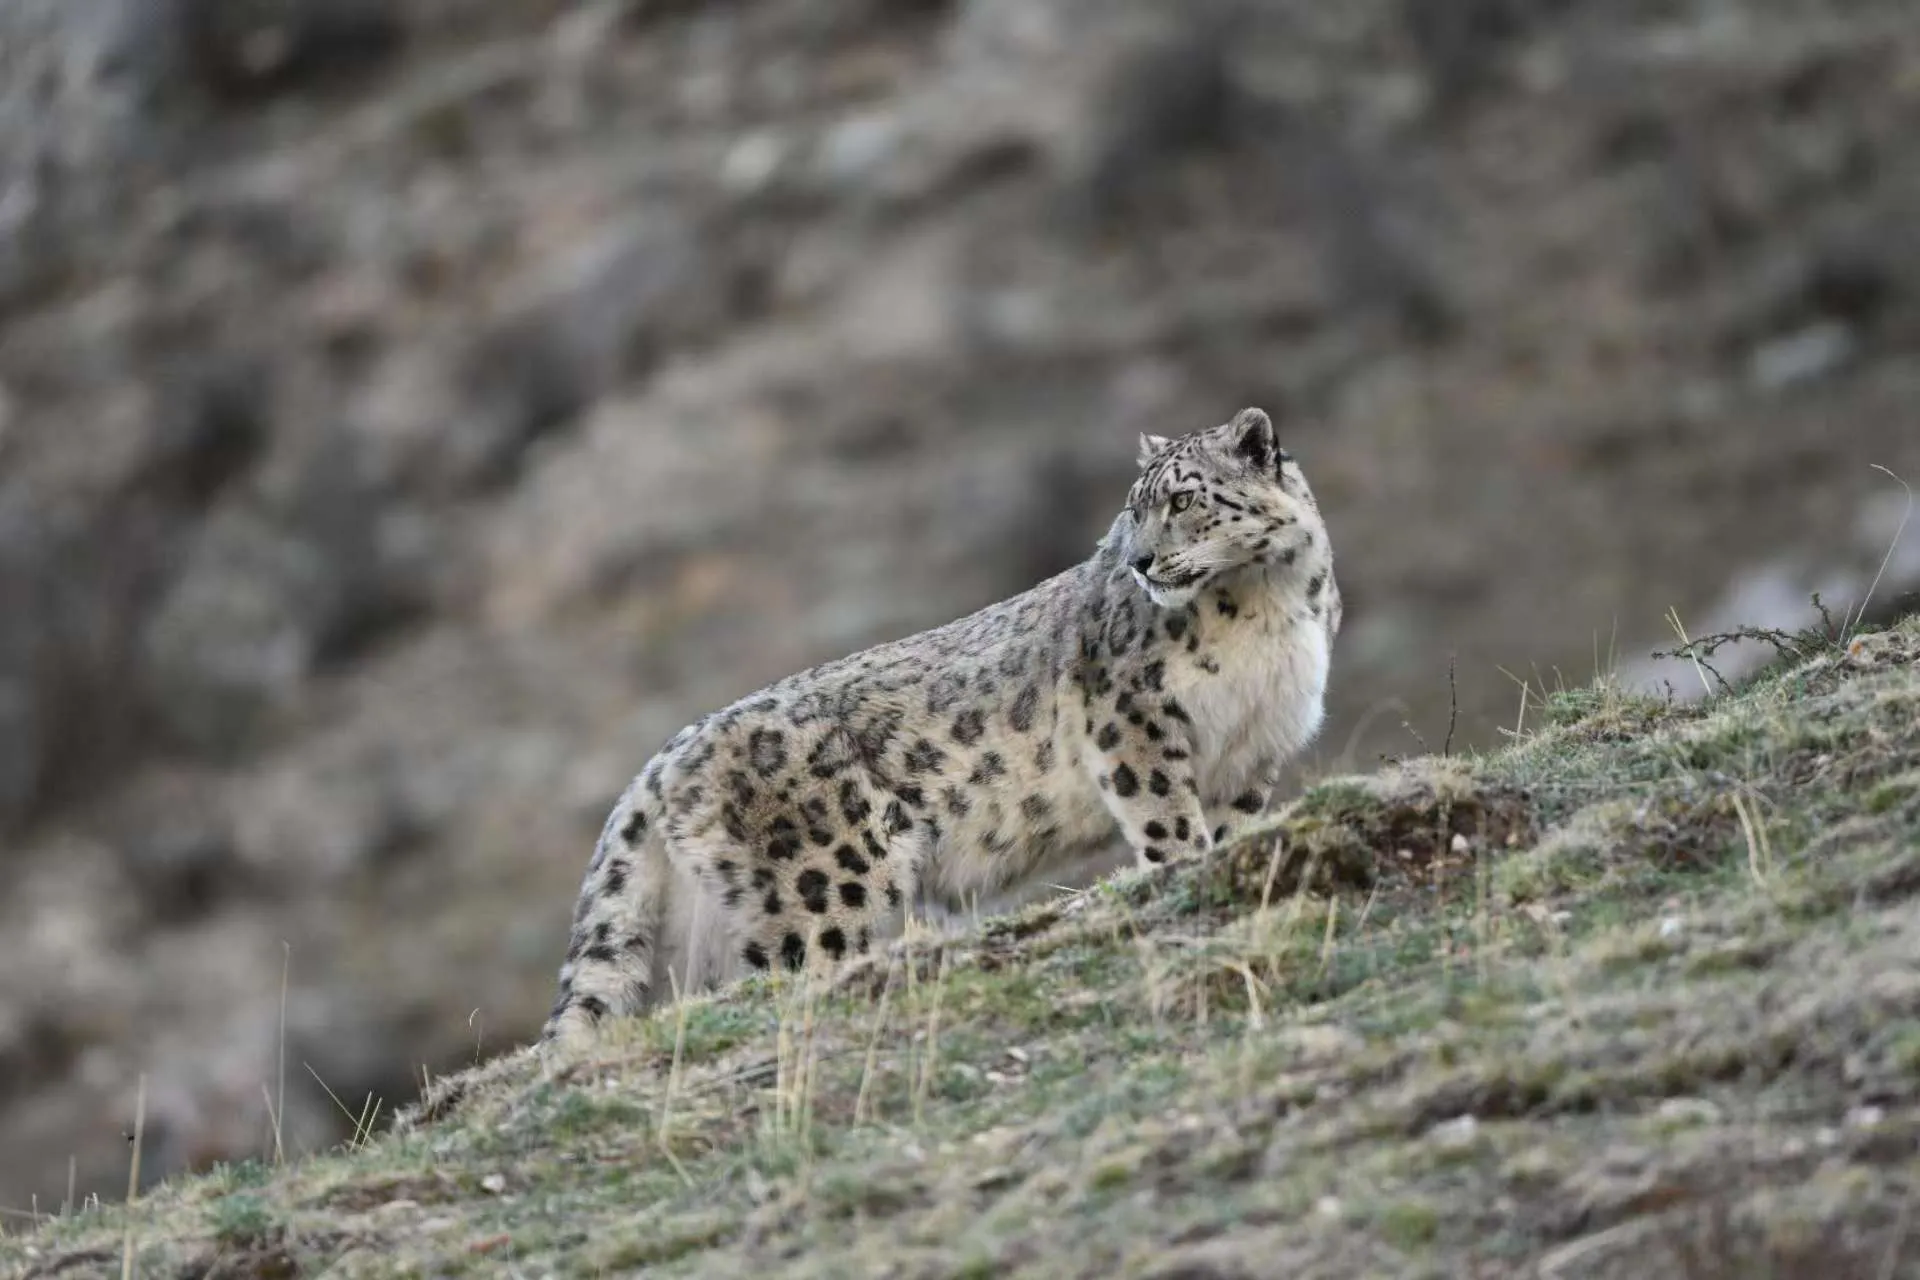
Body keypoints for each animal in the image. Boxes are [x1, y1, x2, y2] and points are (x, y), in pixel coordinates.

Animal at [543, 406, 1341, 1047]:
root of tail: (665, 757)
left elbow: (1232, 820)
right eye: (1134, 509)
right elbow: (1166, 817)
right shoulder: (1133, 717)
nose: (1142, 561)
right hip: (825, 886)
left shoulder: (1257, 743)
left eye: (1182, 498)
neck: (1266, 605)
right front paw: (1184, 864)